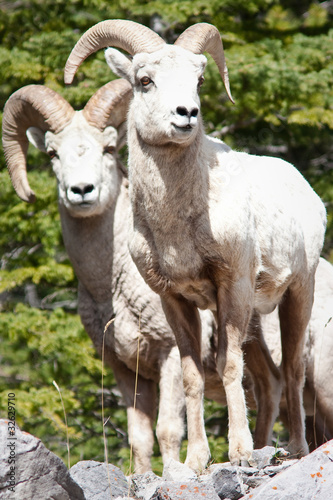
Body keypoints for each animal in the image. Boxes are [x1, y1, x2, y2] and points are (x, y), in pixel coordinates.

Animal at [64, 20, 324, 472]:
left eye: (198, 80)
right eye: (144, 80)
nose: (186, 114)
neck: (176, 228)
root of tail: (303, 187)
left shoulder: (232, 286)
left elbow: (228, 366)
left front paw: (239, 452)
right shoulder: (176, 300)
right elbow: (192, 377)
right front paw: (196, 460)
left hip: (297, 294)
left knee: (292, 371)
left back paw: (294, 448)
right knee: (271, 380)